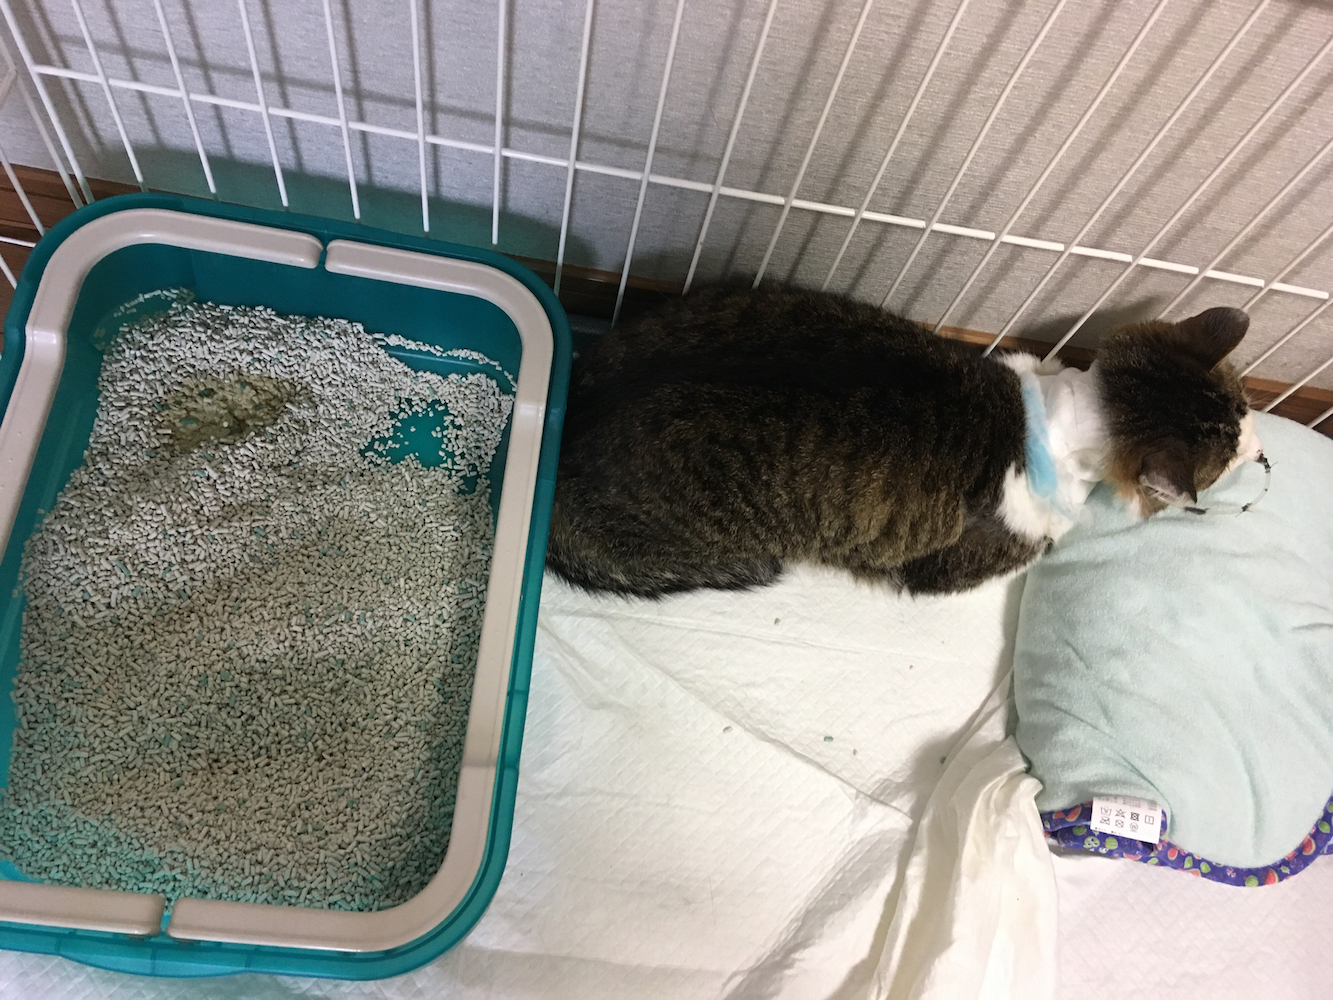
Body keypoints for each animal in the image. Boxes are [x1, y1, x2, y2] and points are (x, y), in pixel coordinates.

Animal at [546, 284, 1259, 598]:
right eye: (1228, 452)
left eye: (1247, 405)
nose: (1261, 448)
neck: (1058, 412)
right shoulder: (957, 562)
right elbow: (1044, 540)